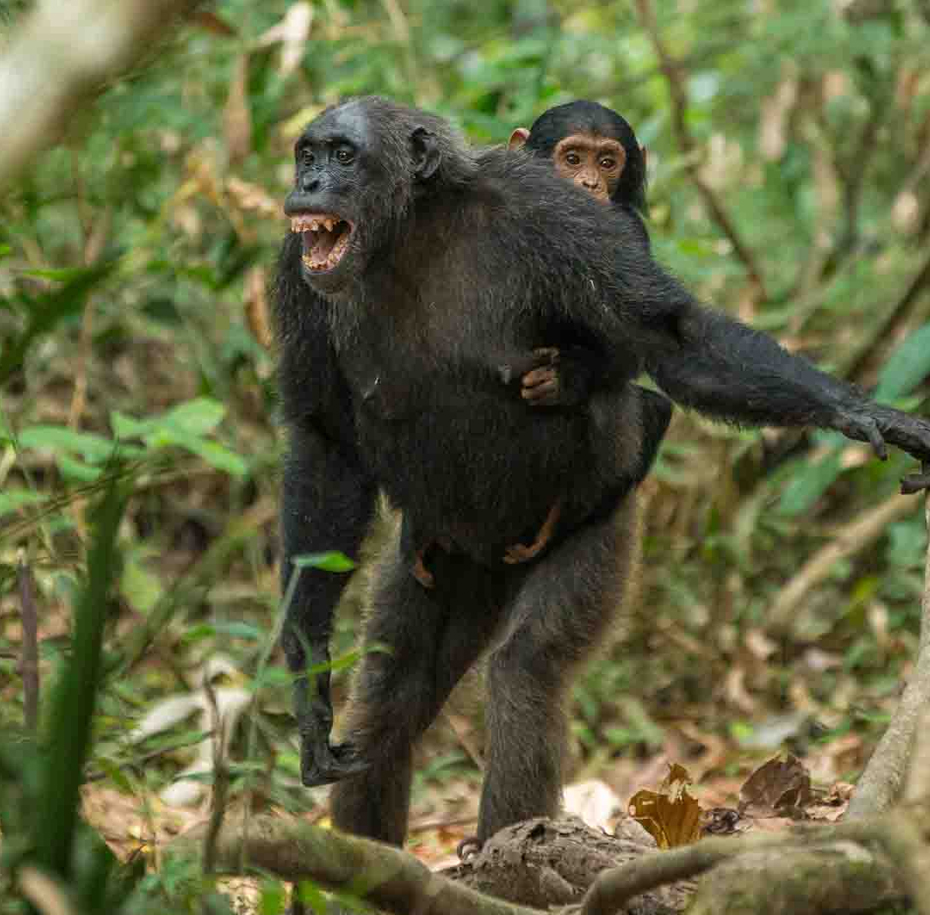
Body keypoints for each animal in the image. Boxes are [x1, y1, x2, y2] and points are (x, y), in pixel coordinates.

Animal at [280, 96, 928, 856]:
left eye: (344, 156)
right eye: (309, 153)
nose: (311, 183)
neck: (409, 230)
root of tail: (492, 558)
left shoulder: (554, 219)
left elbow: (672, 337)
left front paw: (862, 410)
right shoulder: (297, 268)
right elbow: (324, 442)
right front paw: (306, 682)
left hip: (596, 524)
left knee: (527, 667)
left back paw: (509, 847)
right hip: (436, 561)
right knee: (392, 692)